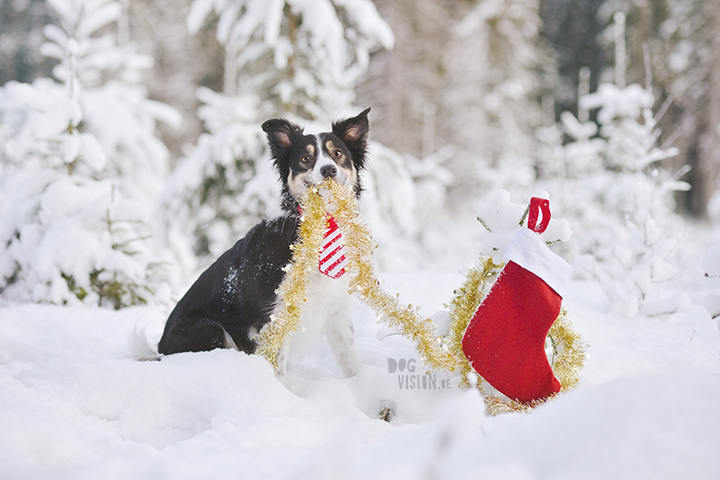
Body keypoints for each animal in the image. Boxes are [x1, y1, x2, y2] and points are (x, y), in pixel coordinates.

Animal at [158, 106, 372, 378]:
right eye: (305, 158)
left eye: (337, 154)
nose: (328, 170)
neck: (318, 225)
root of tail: (159, 347)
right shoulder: (275, 315)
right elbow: (277, 365)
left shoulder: (337, 309)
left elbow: (351, 360)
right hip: (205, 327)